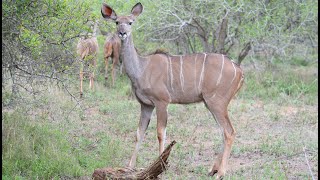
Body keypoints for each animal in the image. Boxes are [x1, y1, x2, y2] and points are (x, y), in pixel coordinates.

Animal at [101, 2, 244, 179]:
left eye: (130, 22)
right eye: (117, 22)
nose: (122, 33)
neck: (142, 68)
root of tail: (239, 70)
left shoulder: (162, 102)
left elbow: (160, 133)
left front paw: (160, 168)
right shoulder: (146, 105)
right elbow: (139, 133)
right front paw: (129, 166)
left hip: (217, 102)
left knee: (229, 132)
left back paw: (221, 173)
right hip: (211, 104)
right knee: (222, 132)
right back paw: (212, 170)